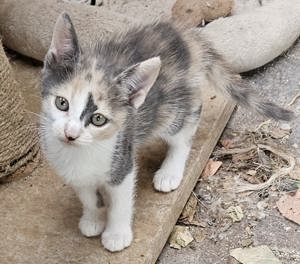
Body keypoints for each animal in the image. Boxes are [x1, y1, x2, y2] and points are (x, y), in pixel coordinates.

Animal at [40, 12, 292, 252]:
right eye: (62, 103)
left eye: (98, 119)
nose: (70, 133)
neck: (81, 152)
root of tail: (186, 35)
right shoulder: (74, 173)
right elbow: (88, 197)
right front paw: (93, 219)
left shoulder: (122, 161)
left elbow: (120, 204)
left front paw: (116, 234)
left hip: (172, 109)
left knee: (188, 120)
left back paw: (170, 171)